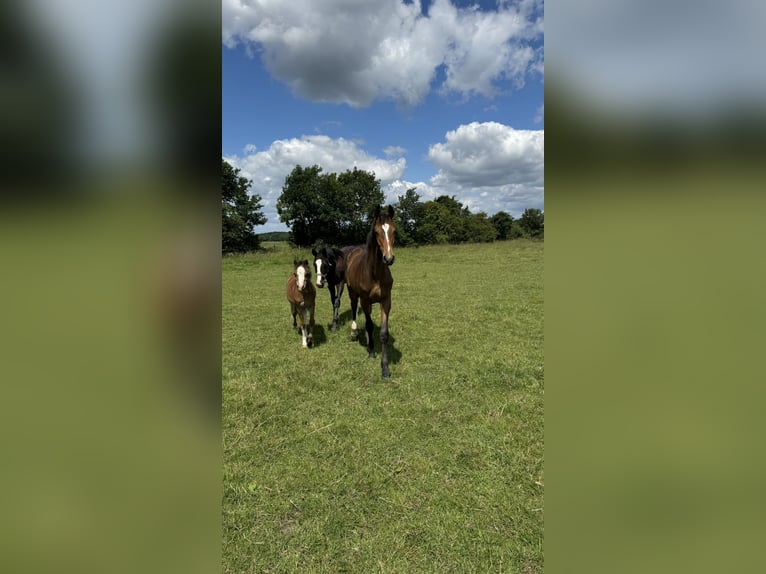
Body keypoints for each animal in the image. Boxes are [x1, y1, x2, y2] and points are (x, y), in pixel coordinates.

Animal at [344, 205, 400, 380]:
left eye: (394, 230)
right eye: (376, 232)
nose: (389, 259)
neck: (375, 273)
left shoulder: (386, 301)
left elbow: (383, 333)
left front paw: (385, 369)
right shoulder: (365, 299)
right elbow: (368, 325)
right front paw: (371, 352)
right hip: (353, 294)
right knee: (354, 309)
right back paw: (356, 333)